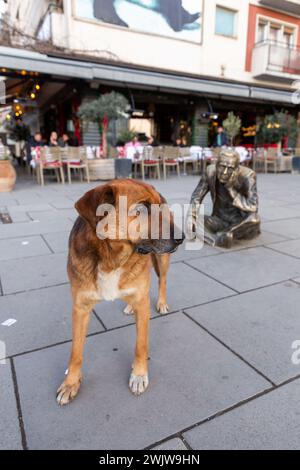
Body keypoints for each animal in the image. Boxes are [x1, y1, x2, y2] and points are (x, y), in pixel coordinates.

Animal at [55, 178, 183, 406]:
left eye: (159, 207)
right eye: (141, 209)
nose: (182, 237)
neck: (112, 258)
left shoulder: (142, 304)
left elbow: (141, 345)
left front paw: (139, 375)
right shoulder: (80, 308)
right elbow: (75, 351)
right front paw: (70, 383)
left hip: (162, 261)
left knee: (162, 281)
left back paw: (160, 302)